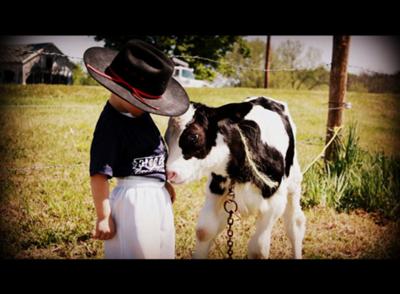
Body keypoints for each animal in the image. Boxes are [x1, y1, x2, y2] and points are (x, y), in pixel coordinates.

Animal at [165, 97, 306, 260]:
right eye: (166, 137)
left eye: (194, 136)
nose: (169, 173)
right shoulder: (215, 190)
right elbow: (204, 231)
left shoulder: (275, 203)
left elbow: (258, 249)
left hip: (294, 182)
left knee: (295, 224)